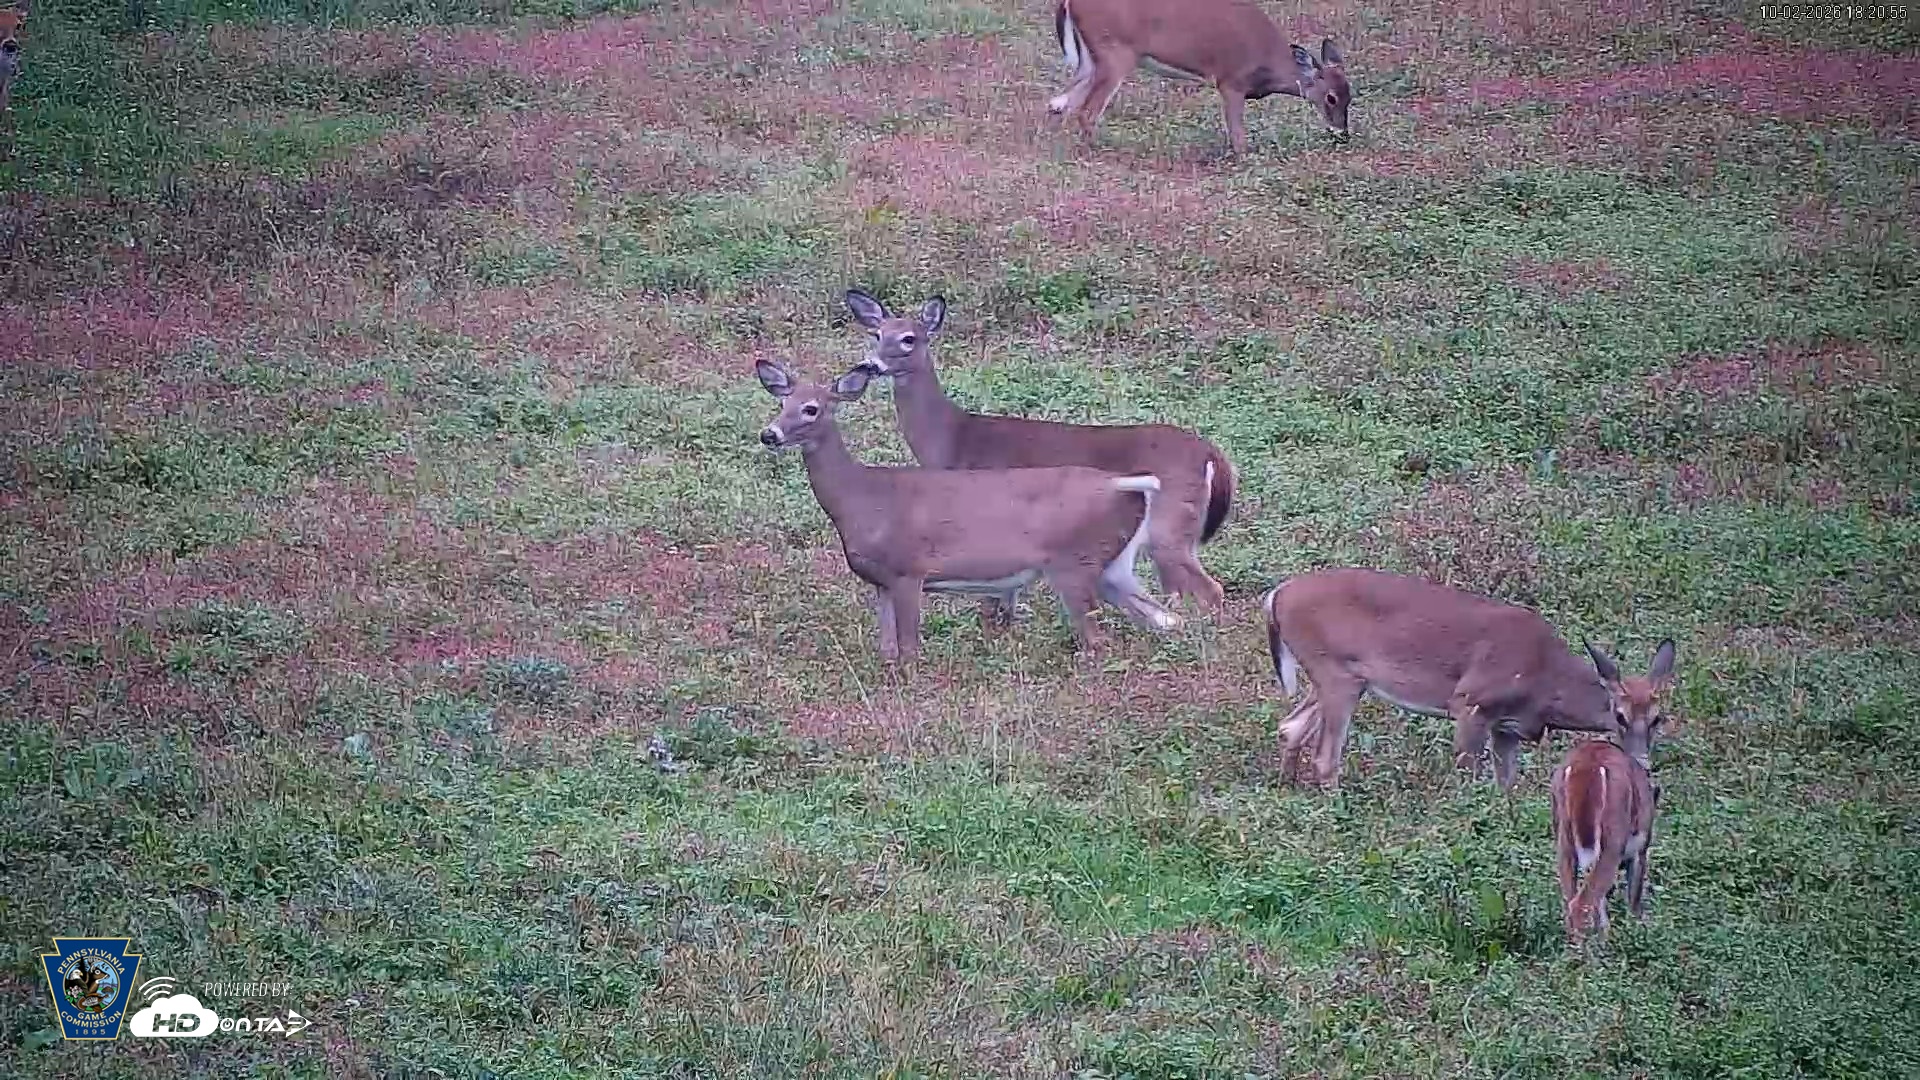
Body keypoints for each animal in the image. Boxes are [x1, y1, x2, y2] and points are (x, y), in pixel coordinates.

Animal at [754, 358, 1184, 662]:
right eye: (782, 401)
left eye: (811, 408)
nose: (768, 434)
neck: (861, 499)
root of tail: (1121, 484)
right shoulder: (881, 582)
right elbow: (887, 652)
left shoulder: (909, 570)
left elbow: (910, 653)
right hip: (1113, 565)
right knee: (1165, 618)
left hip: (1074, 563)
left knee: (1098, 639)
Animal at [843, 289, 1236, 634]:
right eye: (877, 333)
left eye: (909, 338)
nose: (872, 364)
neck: (955, 438)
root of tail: (1210, 453)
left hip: (1168, 527)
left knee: (1210, 590)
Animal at [1047, 0, 1352, 154]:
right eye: (1331, 98)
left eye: (1351, 96)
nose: (1342, 134)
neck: (1269, 63)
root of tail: (1069, 2)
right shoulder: (1231, 80)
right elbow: (1237, 134)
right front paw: (1243, 157)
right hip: (1115, 53)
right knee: (1086, 110)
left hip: (1090, 58)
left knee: (1059, 102)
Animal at [1262, 566, 1675, 794]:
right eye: (1619, 715)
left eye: (1659, 718)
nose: (1642, 763)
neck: (1546, 682)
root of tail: (1276, 595)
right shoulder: (1471, 701)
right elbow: (1467, 774)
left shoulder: (1507, 727)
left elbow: (1505, 785)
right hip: (1335, 671)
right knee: (1324, 756)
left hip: (1336, 676)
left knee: (1290, 726)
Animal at [1552, 639, 1675, 946]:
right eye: (1621, 716)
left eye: (1655, 717)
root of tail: (1585, 771)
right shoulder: (1640, 845)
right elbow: (1633, 899)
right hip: (1612, 840)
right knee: (1581, 904)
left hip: (1564, 837)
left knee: (1571, 900)